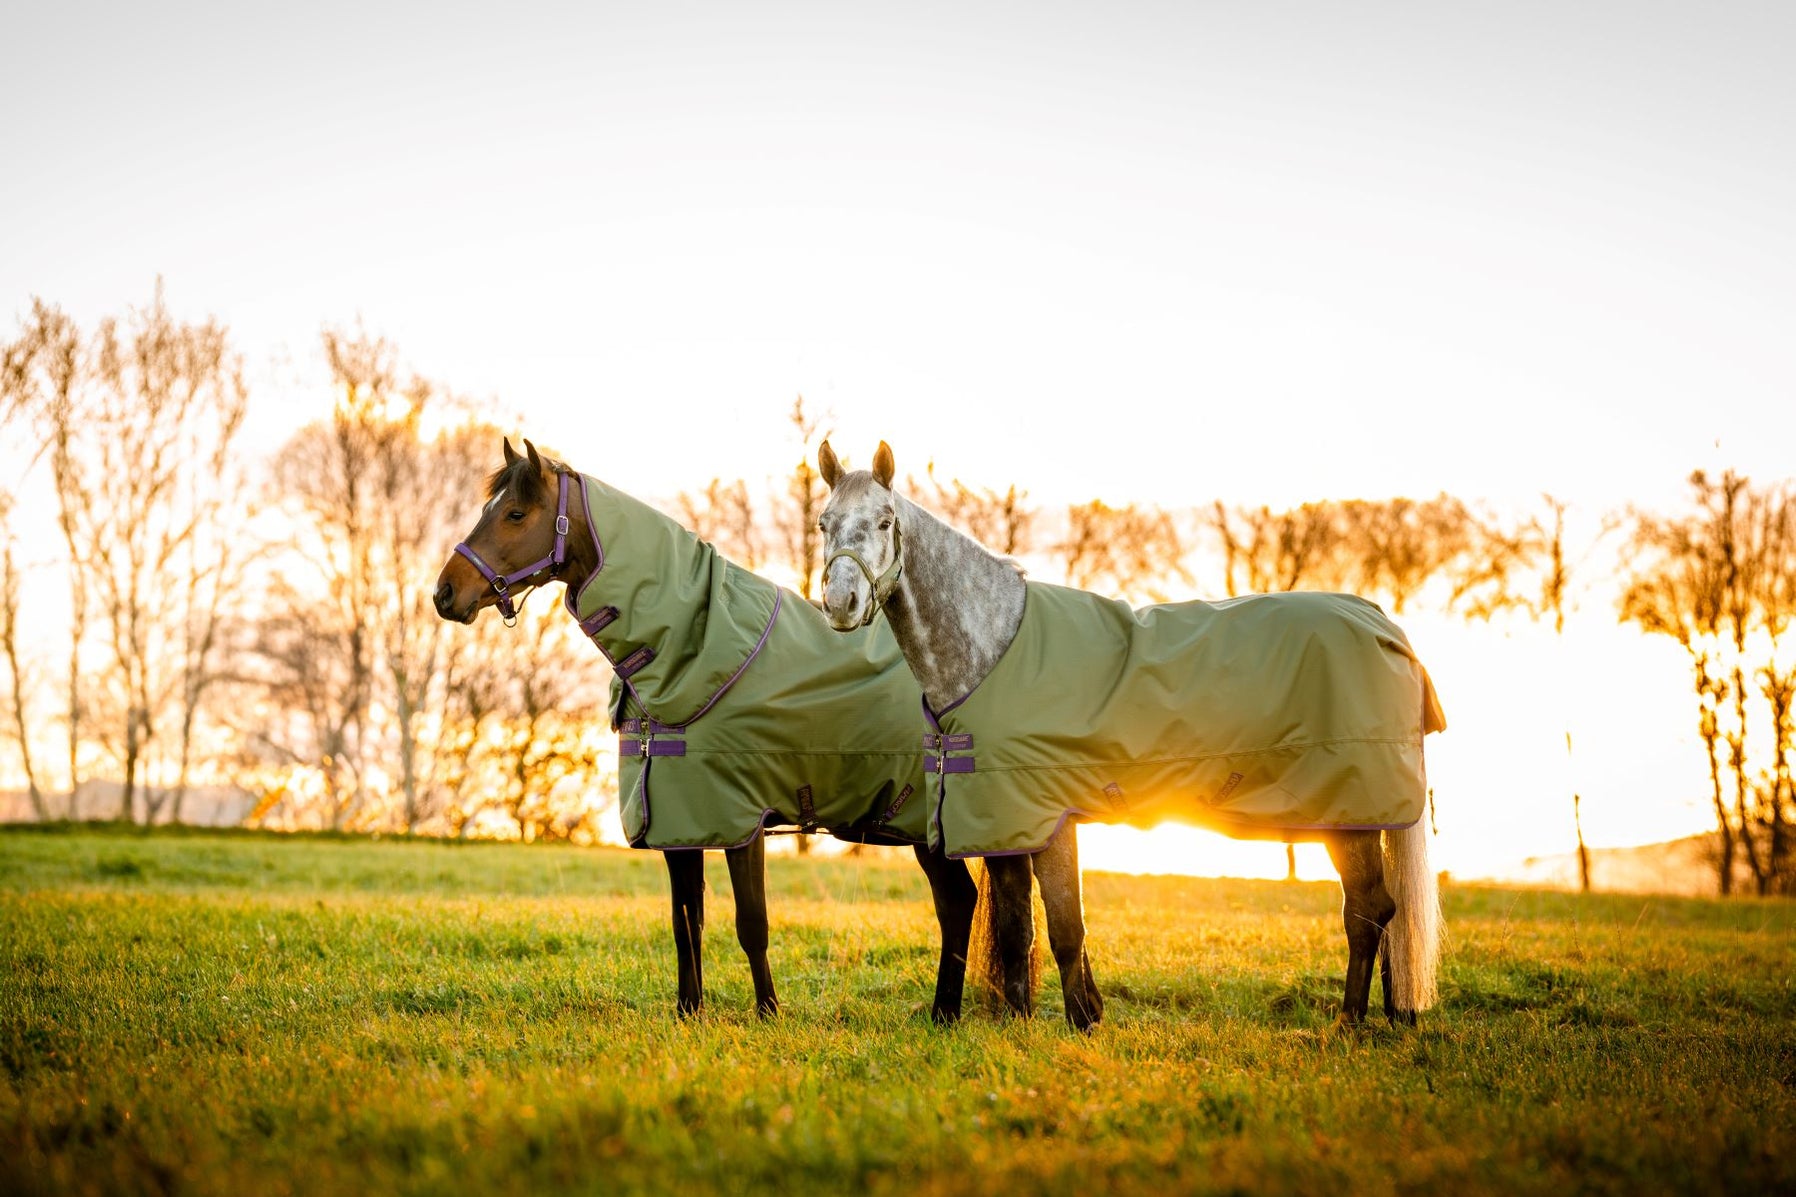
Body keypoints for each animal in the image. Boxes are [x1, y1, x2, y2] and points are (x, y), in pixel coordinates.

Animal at [434, 437, 981, 1023]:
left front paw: (768, 1014)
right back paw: (948, 1013)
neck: (695, 648)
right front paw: (688, 1011)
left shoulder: (741, 819)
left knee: (961, 901)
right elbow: (686, 922)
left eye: (515, 514)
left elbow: (751, 924)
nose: (445, 593)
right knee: (962, 902)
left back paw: (948, 1013)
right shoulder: (677, 820)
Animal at [814, 439, 1445, 1030]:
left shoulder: (1050, 817)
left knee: (1366, 910)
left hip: (1350, 813)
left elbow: (1065, 926)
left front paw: (1080, 1021)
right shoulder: (1003, 820)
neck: (993, 649)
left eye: (885, 522)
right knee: (1380, 912)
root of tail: (1381, 620)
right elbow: (1018, 928)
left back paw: (1348, 1024)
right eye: (824, 522)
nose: (841, 604)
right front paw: (1021, 1023)